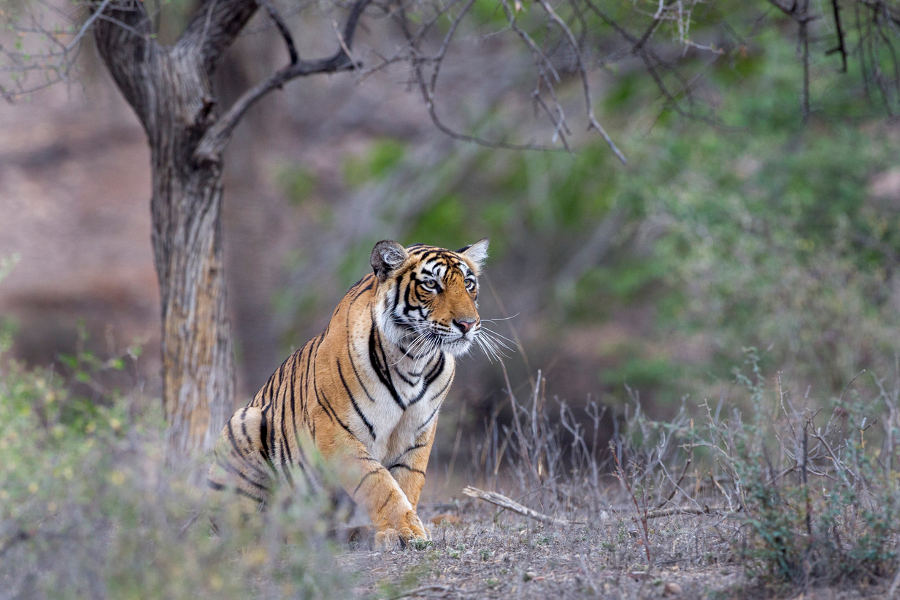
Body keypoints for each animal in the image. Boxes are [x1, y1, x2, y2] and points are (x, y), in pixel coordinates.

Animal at [208, 239, 490, 549]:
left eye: (468, 284)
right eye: (431, 285)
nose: (467, 324)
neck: (414, 358)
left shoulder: (418, 432)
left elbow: (407, 482)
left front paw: (405, 529)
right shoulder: (335, 431)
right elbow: (378, 482)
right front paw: (404, 531)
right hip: (244, 421)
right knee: (244, 530)